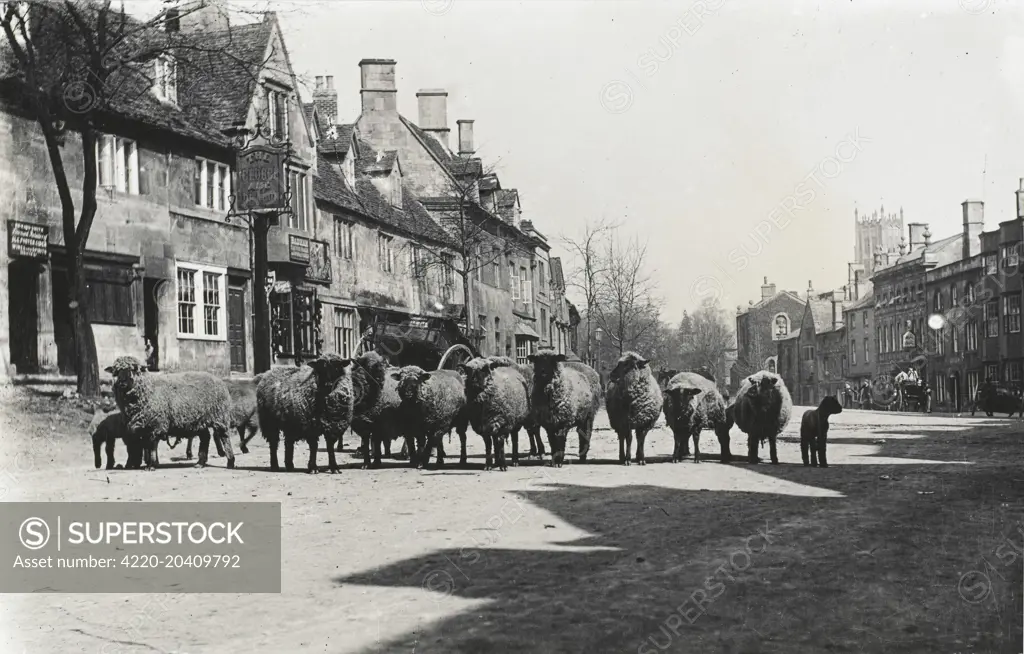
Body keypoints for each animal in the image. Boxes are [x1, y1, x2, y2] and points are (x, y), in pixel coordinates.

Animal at [105, 358, 237, 470]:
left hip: (220, 415)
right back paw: (200, 463)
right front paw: (149, 463)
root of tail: (219, 380)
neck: (148, 389)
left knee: (224, 436)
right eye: (116, 372)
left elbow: (152, 445)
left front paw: (151, 465)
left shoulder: (156, 423)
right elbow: (147, 445)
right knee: (205, 437)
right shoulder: (145, 426)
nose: (122, 382)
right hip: (199, 419)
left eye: (133, 369)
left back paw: (230, 461)